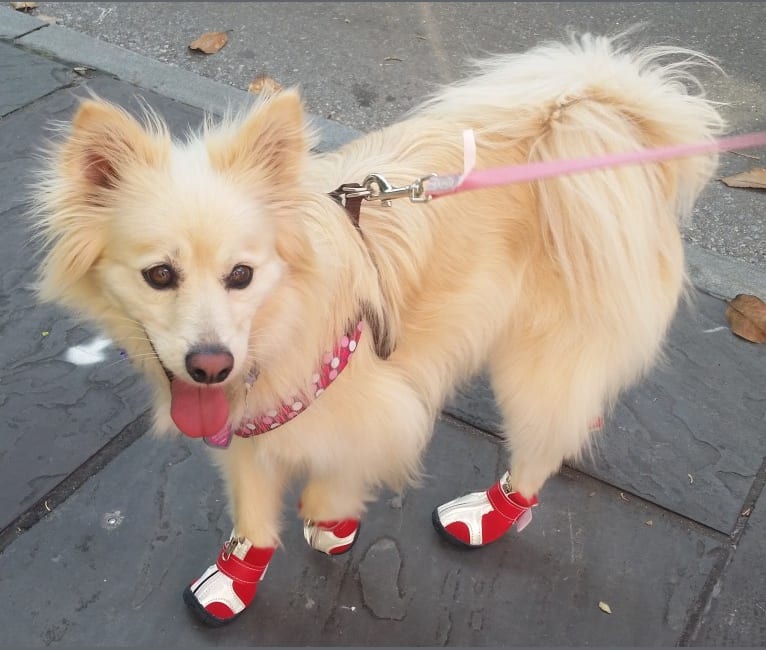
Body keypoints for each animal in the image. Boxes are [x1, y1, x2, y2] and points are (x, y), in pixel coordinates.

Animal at [33, 34, 724, 624]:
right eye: (159, 275)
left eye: (241, 275)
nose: (210, 365)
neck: (281, 327)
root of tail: (609, 123)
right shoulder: (249, 424)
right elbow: (253, 511)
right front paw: (237, 577)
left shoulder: (378, 406)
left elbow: (336, 475)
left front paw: (331, 520)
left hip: (540, 359)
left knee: (541, 443)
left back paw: (490, 512)